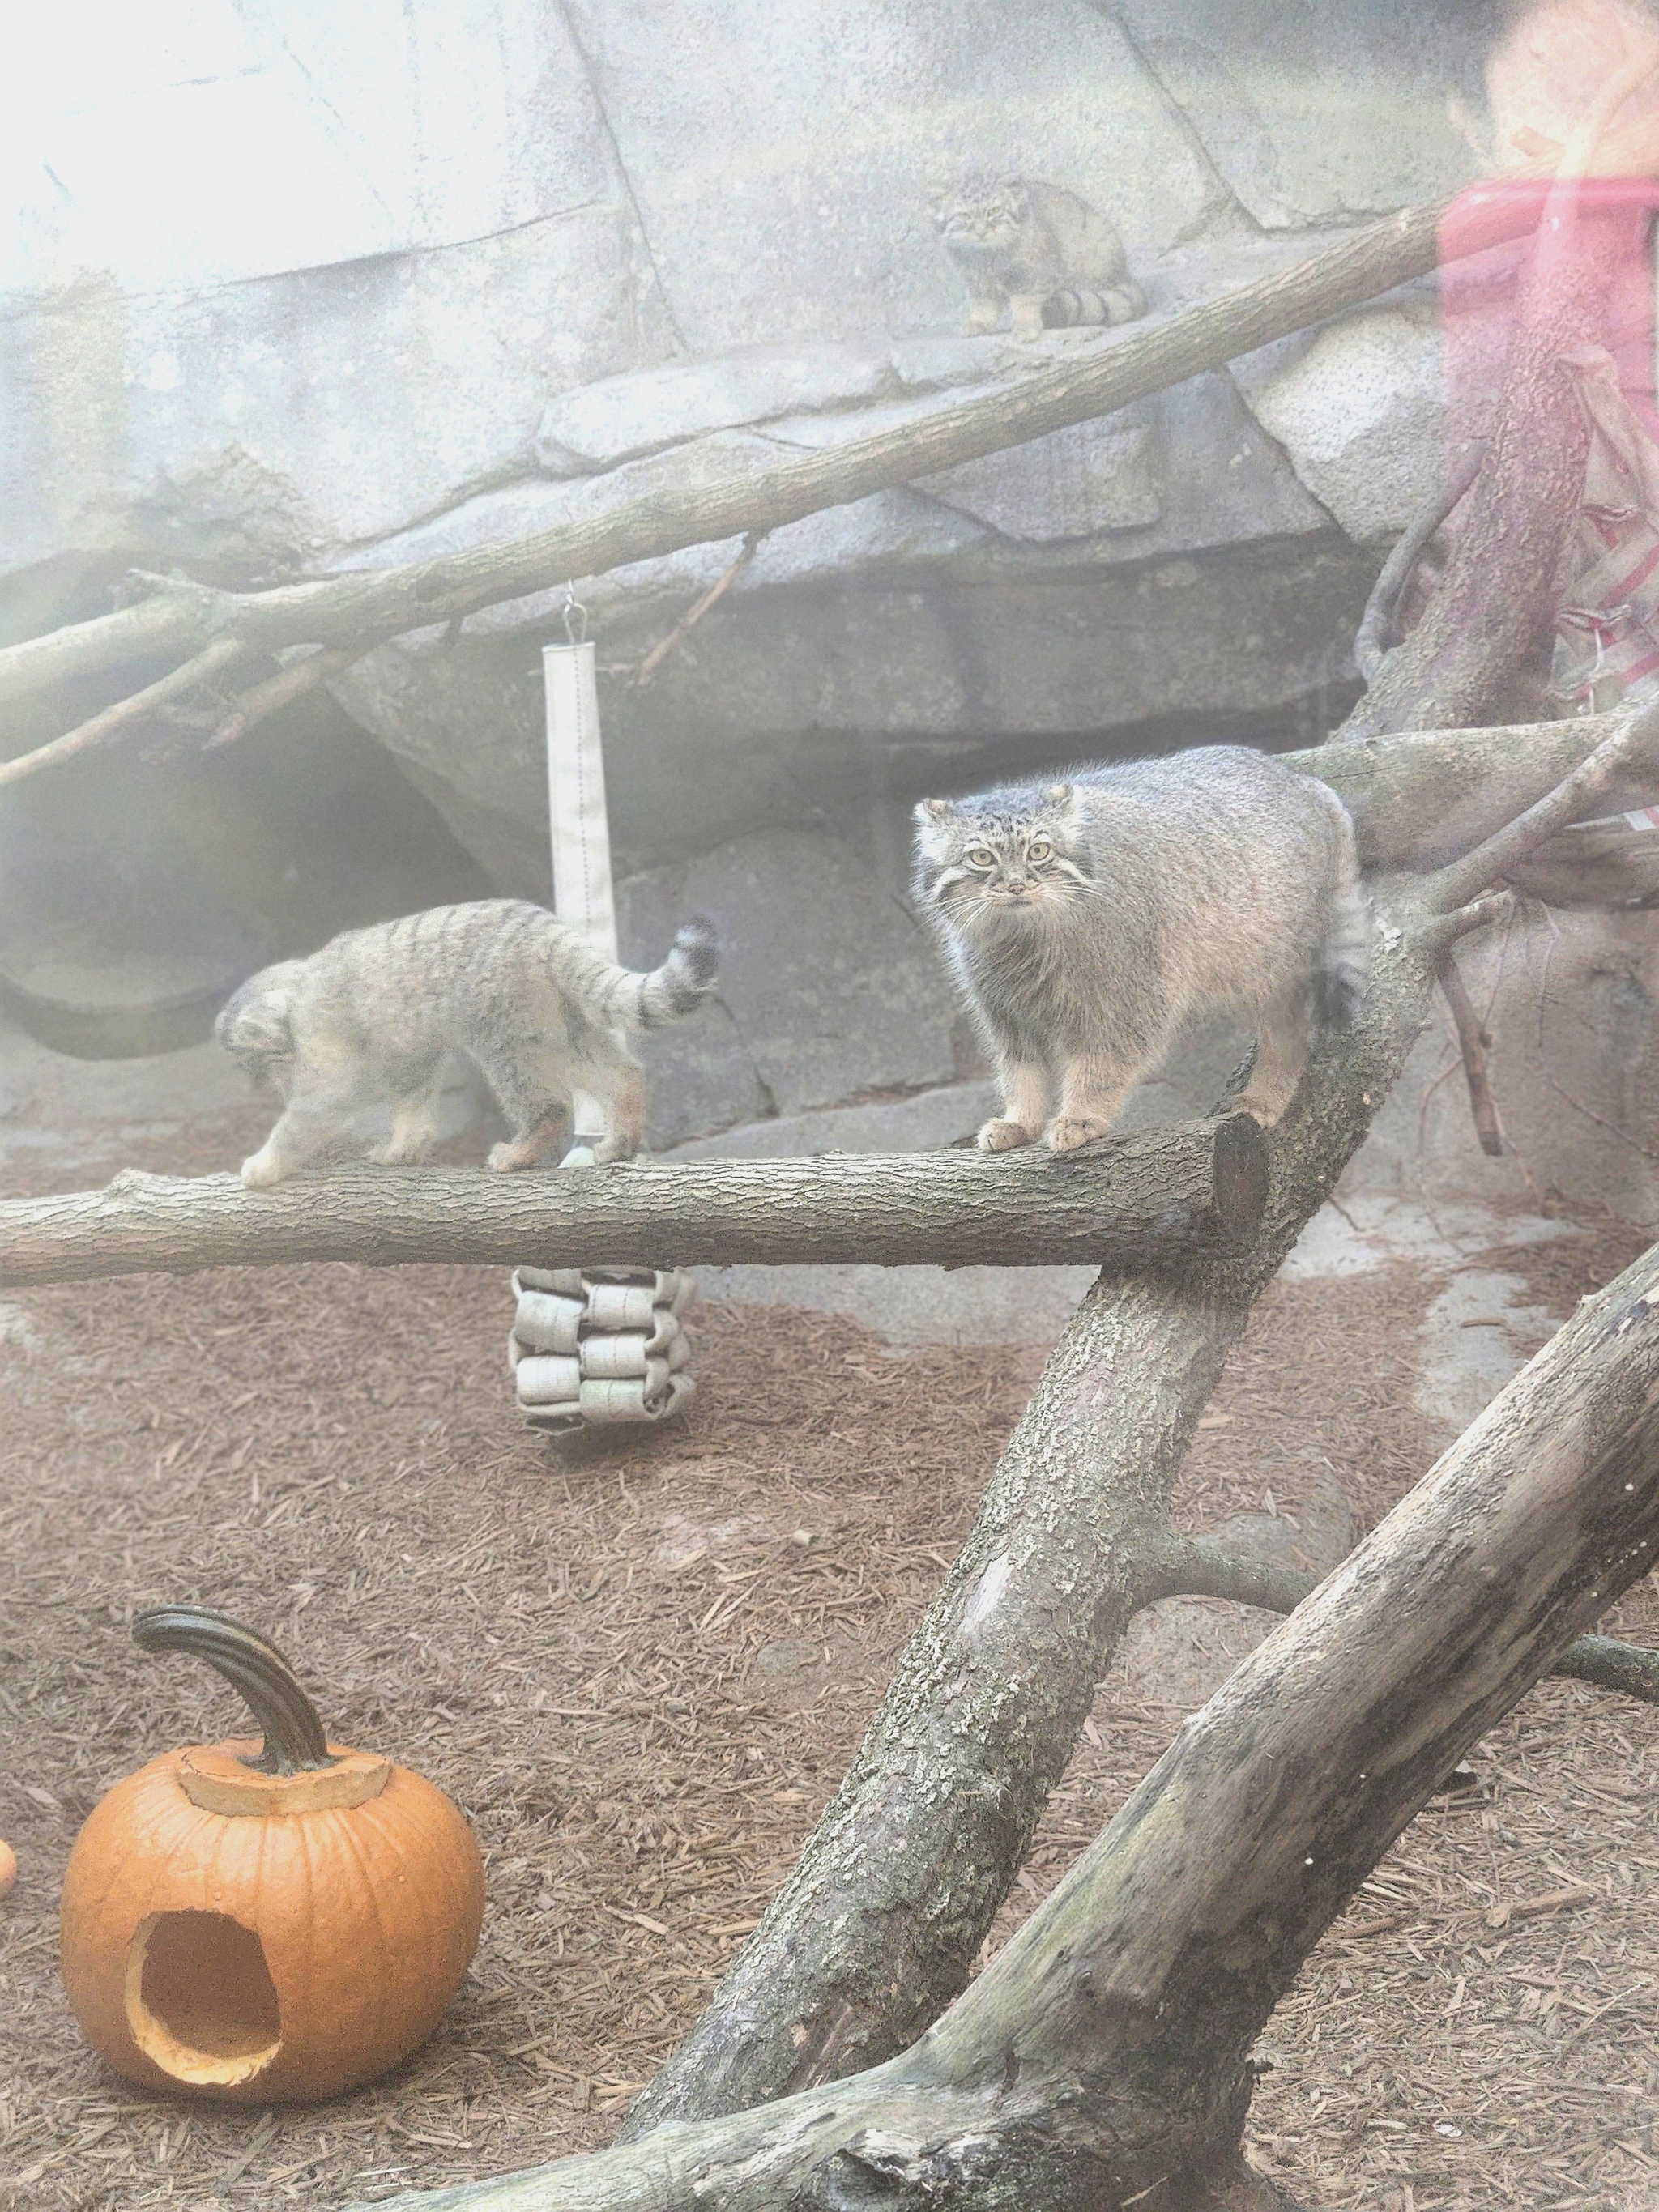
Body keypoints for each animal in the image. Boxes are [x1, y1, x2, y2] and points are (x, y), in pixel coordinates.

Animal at [217, 897, 716, 1185]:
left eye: (261, 1067)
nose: (275, 1087)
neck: (298, 983)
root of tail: (546, 929)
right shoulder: (410, 1056)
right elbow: (412, 1105)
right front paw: (401, 1151)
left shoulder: (324, 1041)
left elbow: (310, 1112)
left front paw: (263, 1167)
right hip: (561, 1020)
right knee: (622, 1071)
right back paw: (619, 1143)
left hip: (500, 1028)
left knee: (549, 1105)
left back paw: (518, 1155)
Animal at [915, 748, 1371, 1159]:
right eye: (981, 857)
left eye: (1039, 851)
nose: (1015, 886)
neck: (1024, 937)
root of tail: (1306, 782)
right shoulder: (1005, 1008)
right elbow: (1021, 1070)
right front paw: (1020, 1120)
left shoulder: (1127, 994)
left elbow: (1100, 1062)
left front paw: (1082, 1115)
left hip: (1277, 961)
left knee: (1289, 1028)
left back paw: (1265, 1095)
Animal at [928, 173, 1149, 338]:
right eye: (964, 216)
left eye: (995, 211)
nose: (981, 231)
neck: (987, 257)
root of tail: (1125, 275)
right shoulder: (976, 281)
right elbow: (983, 304)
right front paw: (979, 322)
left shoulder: (1034, 276)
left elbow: (1025, 301)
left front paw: (1026, 327)